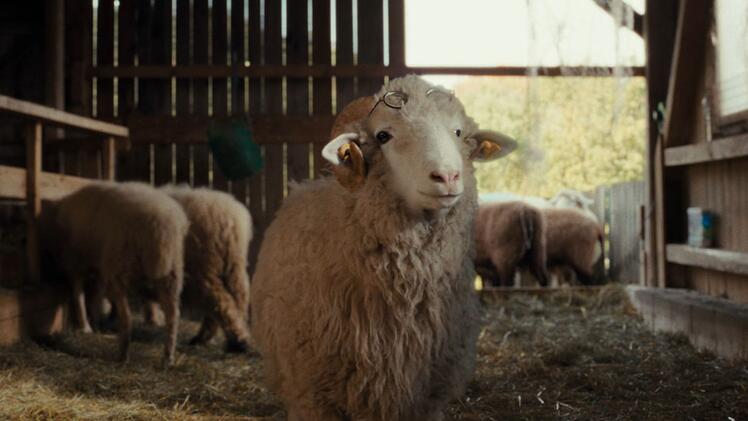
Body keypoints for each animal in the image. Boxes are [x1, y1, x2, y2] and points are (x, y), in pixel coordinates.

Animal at [40, 182, 188, 365]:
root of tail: (161, 226)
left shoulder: (77, 264)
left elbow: (79, 295)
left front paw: (86, 326)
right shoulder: (97, 269)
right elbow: (95, 297)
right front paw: (95, 323)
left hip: (120, 268)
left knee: (127, 318)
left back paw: (122, 356)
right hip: (172, 275)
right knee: (173, 317)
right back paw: (168, 358)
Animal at [158, 185, 253, 353]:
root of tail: (230, 220)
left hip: (203, 270)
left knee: (220, 302)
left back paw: (234, 342)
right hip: (234, 267)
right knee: (238, 299)